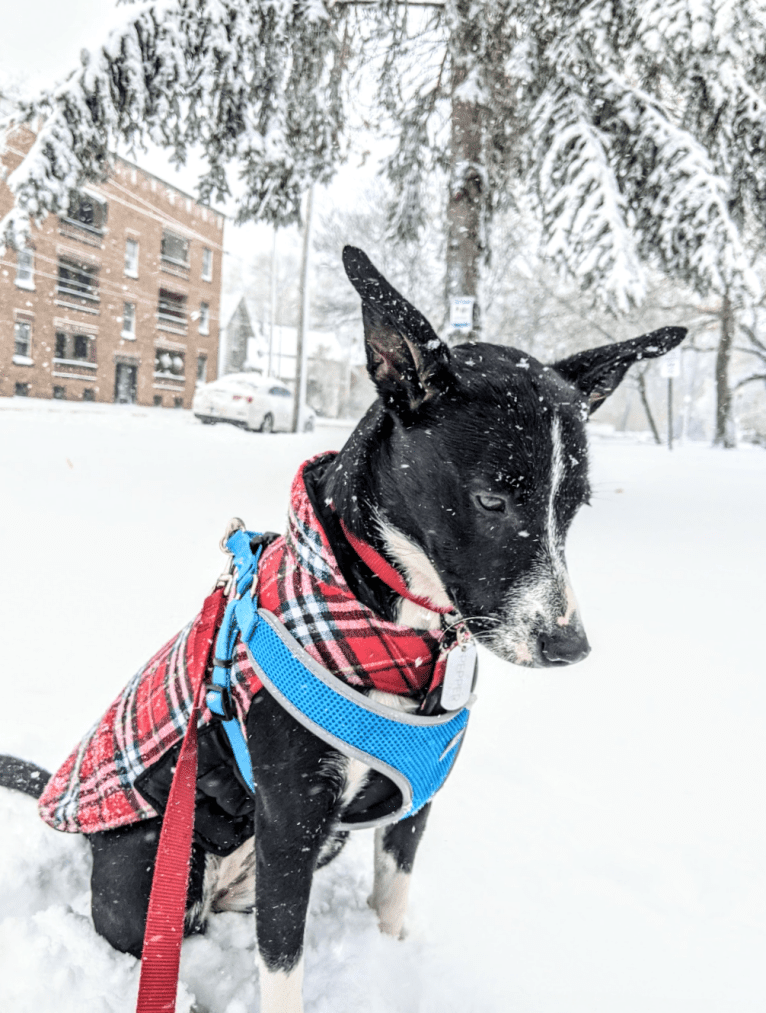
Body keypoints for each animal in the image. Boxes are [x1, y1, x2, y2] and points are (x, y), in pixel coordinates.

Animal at [0, 247, 684, 1013]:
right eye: (491, 500)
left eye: (575, 506)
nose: (571, 646)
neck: (402, 629)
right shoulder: (290, 823)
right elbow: (282, 963)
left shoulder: (412, 808)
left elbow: (390, 904)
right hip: (153, 863)